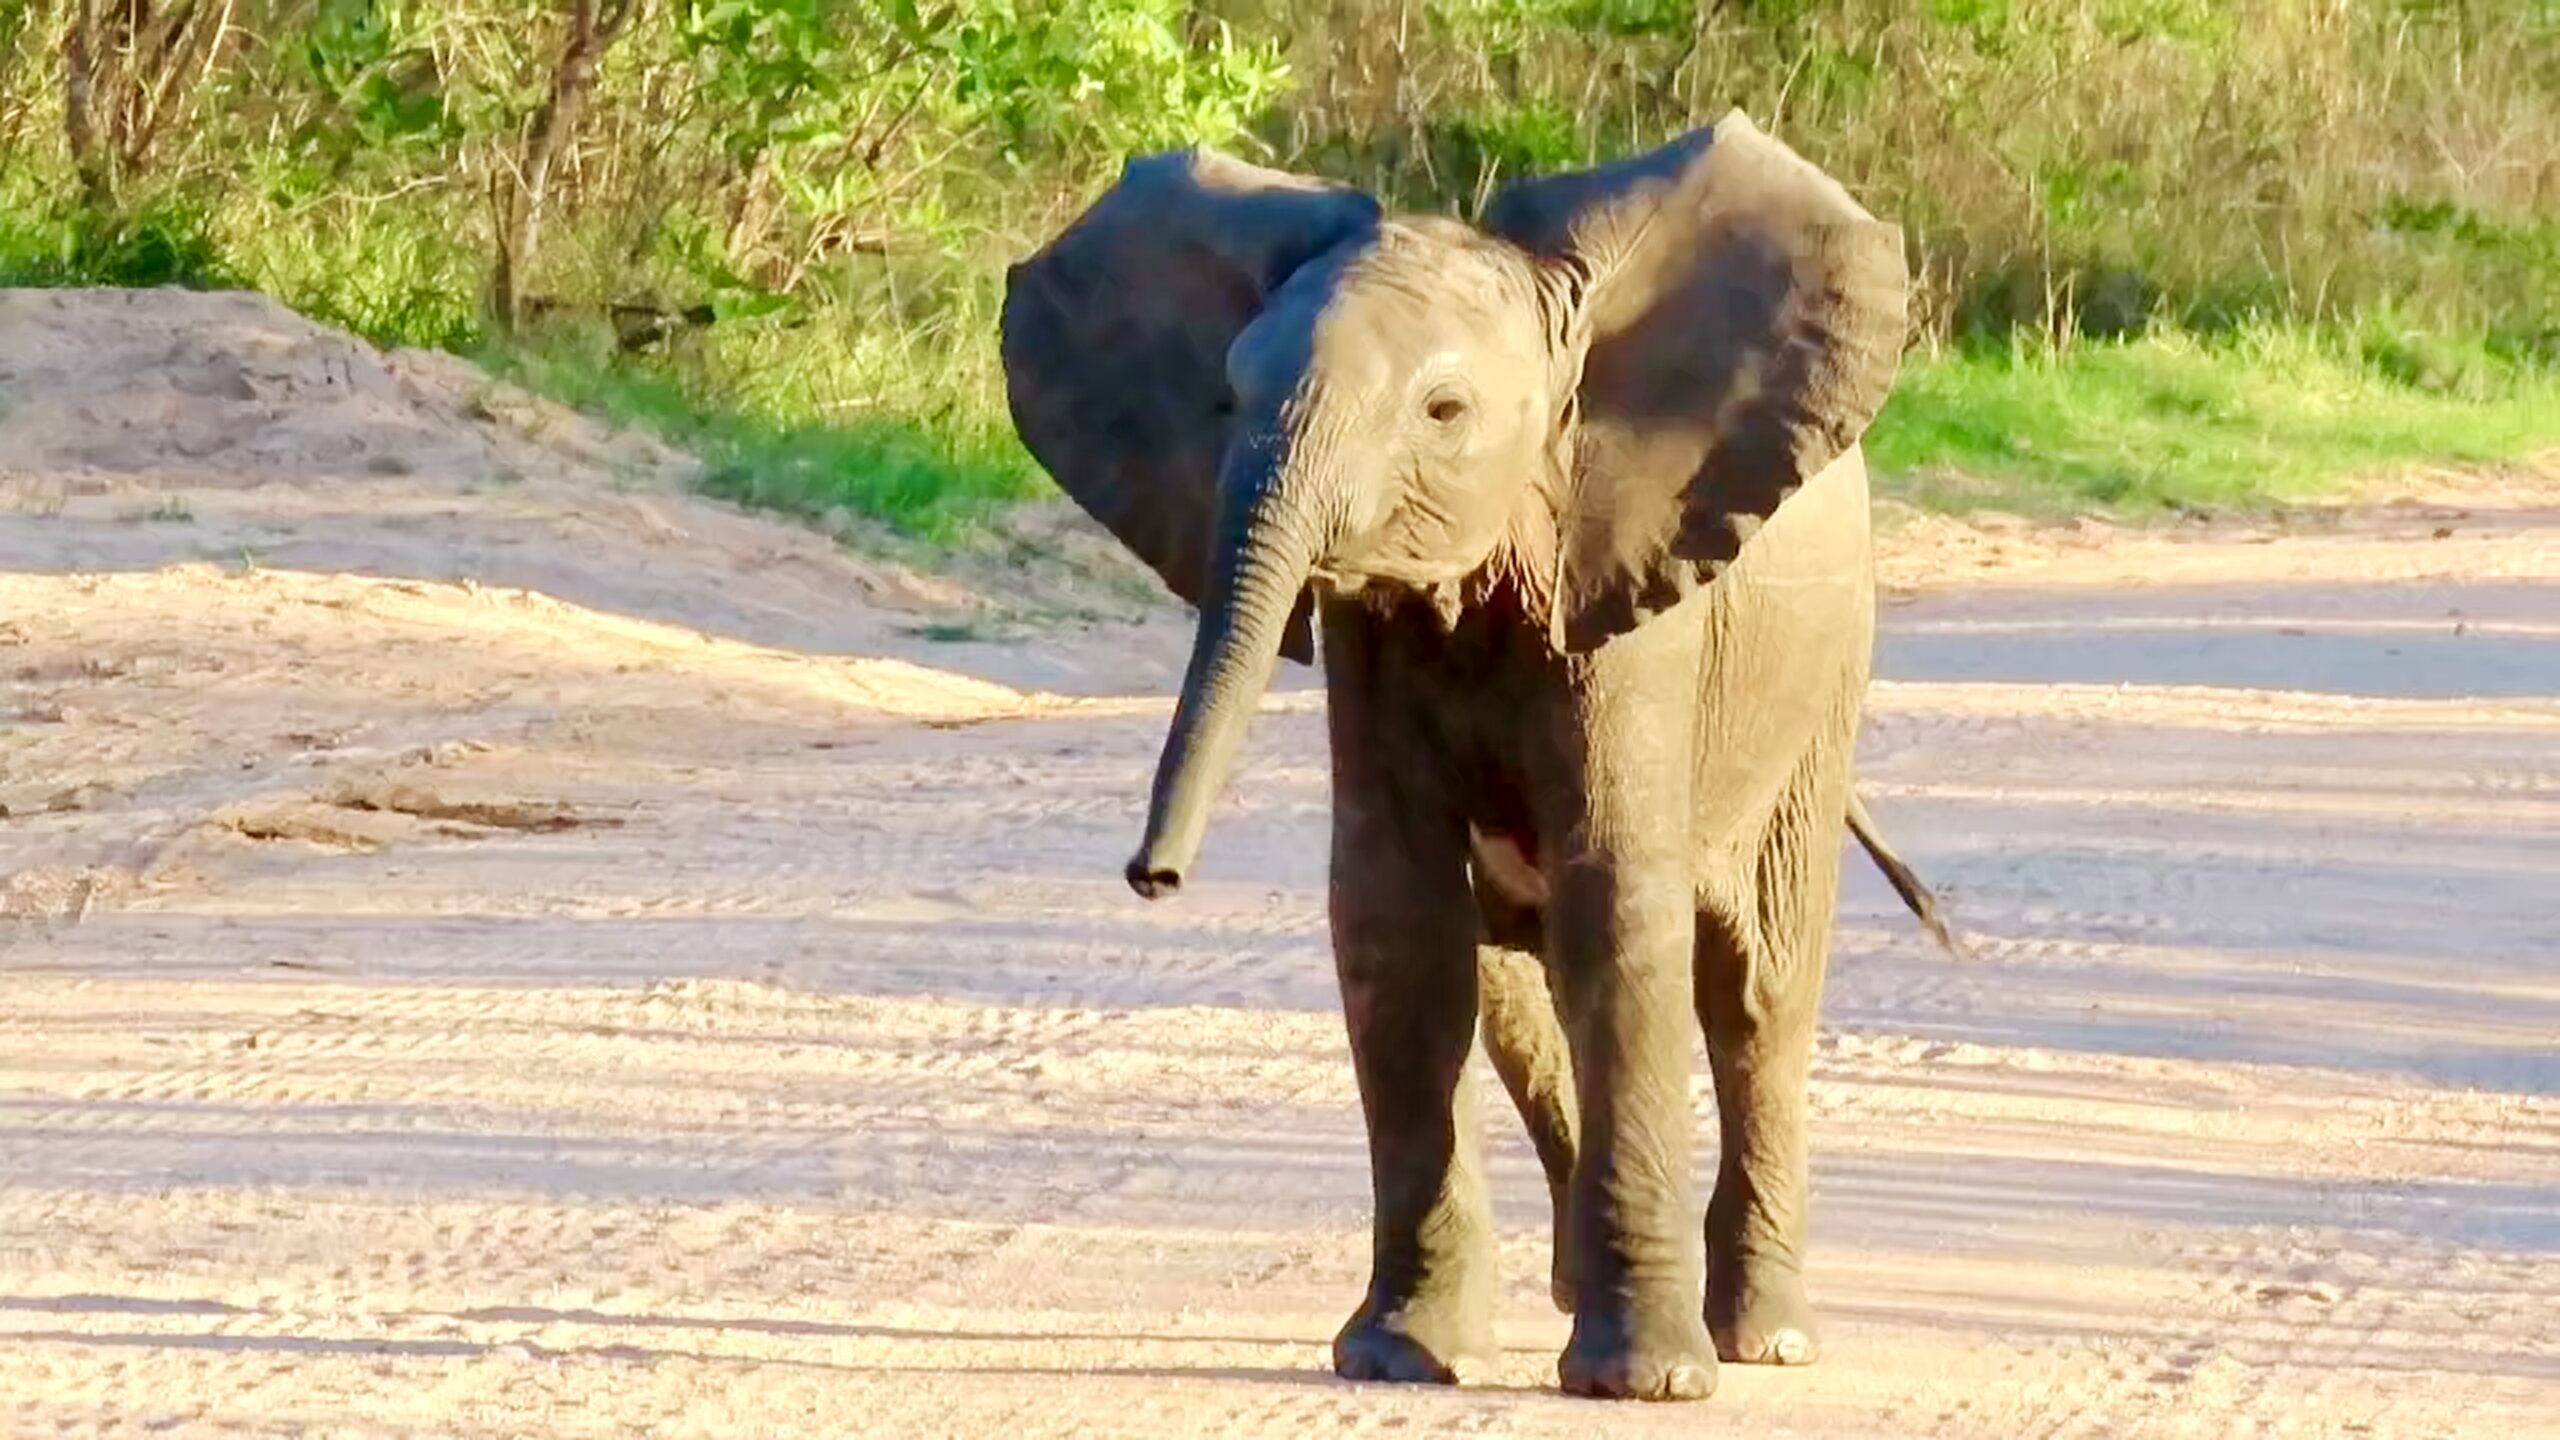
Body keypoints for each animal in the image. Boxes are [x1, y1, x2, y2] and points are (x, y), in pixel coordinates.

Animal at [999, 111, 1943, 1401]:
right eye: (1226, 392)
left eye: (1442, 412)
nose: (1155, 877)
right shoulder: (1373, 642)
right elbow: (1395, 924)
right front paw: (1397, 1356)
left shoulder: (1632, 597)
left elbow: (1617, 915)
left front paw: (1646, 1382)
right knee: (1516, 998)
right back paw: (1578, 1294)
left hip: (1820, 693)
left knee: (1756, 994)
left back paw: (1760, 1336)